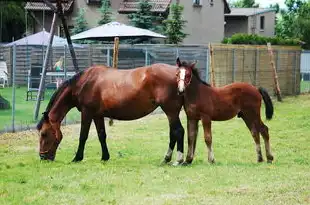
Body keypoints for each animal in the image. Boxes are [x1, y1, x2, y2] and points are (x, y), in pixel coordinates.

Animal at [37, 64, 185, 165]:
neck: (84, 83)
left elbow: (83, 136)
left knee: (178, 131)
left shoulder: (87, 112)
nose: (43, 157)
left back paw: (178, 160)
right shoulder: (97, 115)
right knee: (173, 133)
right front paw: (105, 157)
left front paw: (77, 158)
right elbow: (101, 135)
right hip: (171, 113)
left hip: (170, 111)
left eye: (44, 134)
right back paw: (167, 159)